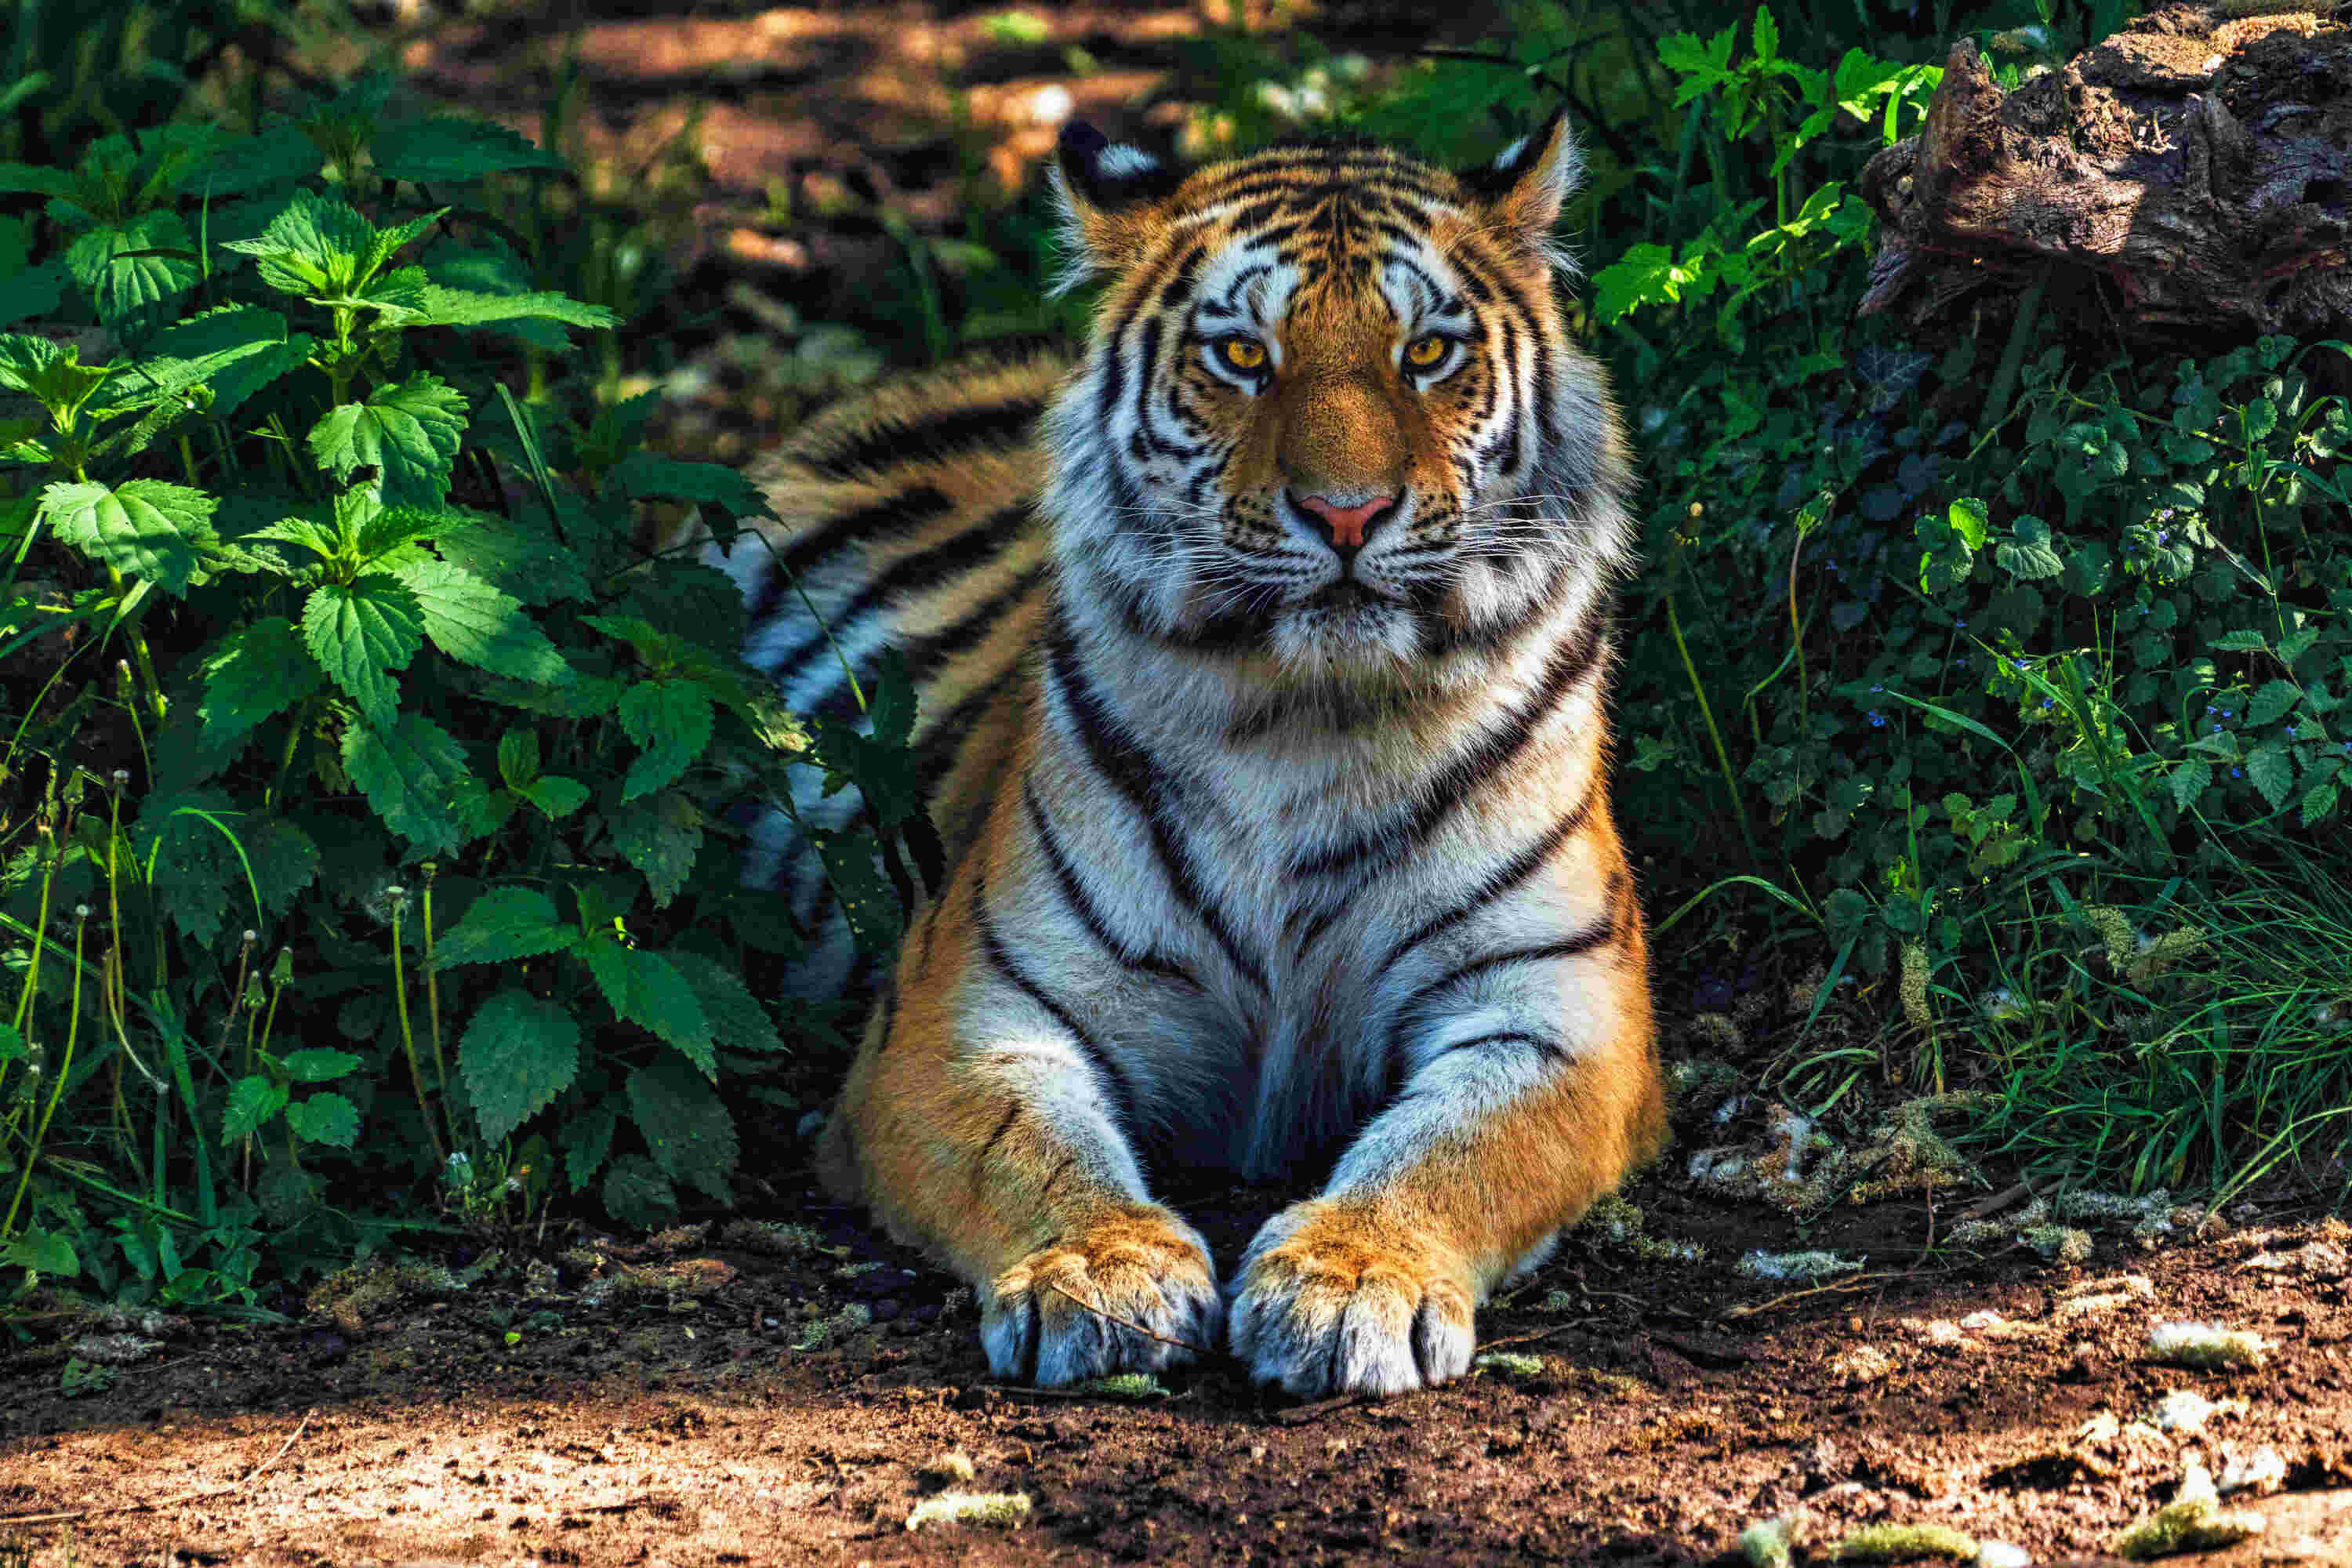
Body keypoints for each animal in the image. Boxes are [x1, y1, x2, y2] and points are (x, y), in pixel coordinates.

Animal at [715, 112, 1666, 1397]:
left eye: (1426, 353)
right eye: (1242, 357)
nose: (1348, 513)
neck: (1312, 723)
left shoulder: (1556, 1005)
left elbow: (1458, 1147)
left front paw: (1352, 1279)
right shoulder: (967, 1008)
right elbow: (1029, 1148)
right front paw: (1100, 1272)